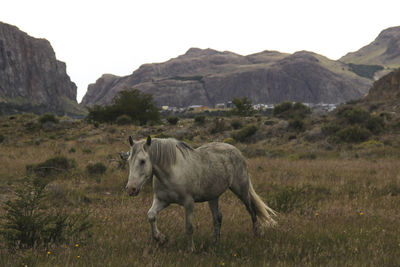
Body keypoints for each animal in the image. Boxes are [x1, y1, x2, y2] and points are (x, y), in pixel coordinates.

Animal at [124, 137, 276, 252]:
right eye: (129, 160)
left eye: (143, 161)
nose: (131, 189)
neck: (171, 172)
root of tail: (236, 150)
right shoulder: (162, 200)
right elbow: (151, 216)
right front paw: (161, 239)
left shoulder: (188, 203)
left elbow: (189, 227)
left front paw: (191, 249)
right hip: (213, 197)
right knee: (217, 218)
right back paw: (215, 243)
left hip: (241, 190)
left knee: (251, 210)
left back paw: (257, 233)